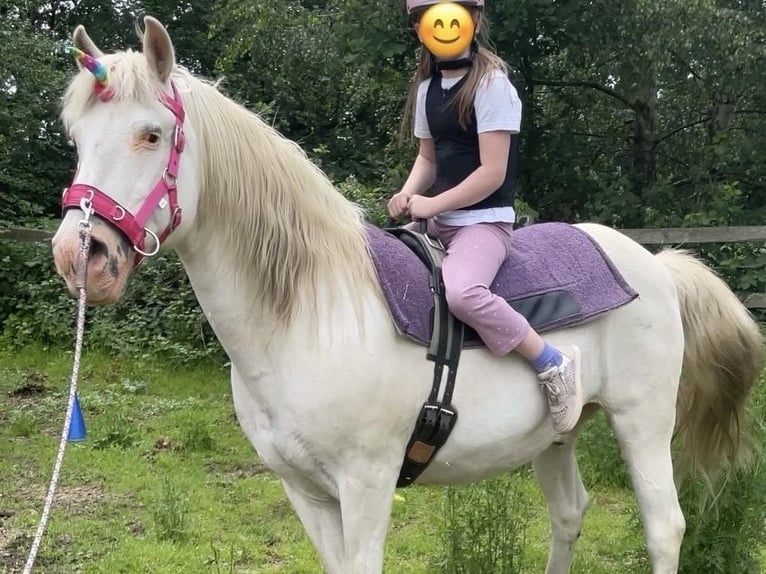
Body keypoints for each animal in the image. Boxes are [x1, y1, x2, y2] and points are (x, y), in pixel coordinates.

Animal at [51, 16, 763, 574]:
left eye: (150, 134)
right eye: (77, 140)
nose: (79, 257)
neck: (309, 314)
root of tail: (655, 265)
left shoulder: (366, 485)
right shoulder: (305, 492)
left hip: (642, 421)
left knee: (665, 527)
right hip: (556, 438)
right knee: (568, 515)